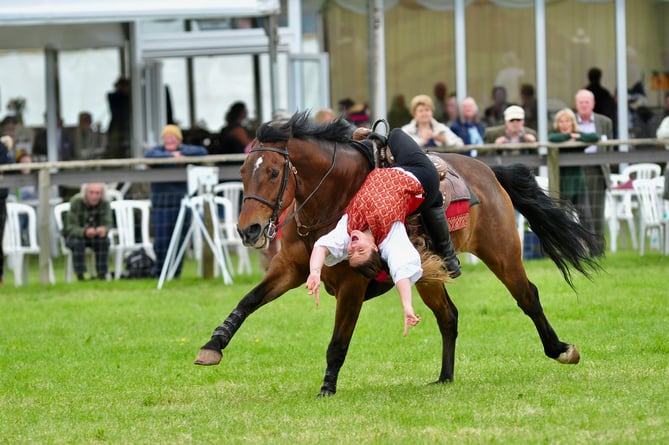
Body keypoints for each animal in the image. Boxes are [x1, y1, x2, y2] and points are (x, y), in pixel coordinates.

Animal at [194, 111, 600, 396]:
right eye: (243, 170)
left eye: (275, 172)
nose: (248, 230)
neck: (333, 201)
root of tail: (487, 170)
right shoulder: (288, 269)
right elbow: (247, 302)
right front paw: (213, 345)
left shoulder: (352, 286)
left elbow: (338, 341)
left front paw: (326, 388)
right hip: (430, 275)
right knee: (449, 316)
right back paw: (445, 377)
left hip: (502, 254)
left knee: (528, 296)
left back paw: (561, 349)